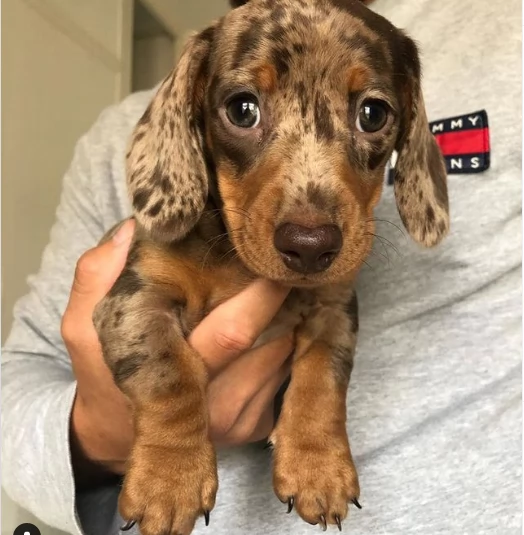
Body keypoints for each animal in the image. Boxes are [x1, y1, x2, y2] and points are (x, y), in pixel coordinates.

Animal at [92, 1, 448, 535]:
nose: (310, 246)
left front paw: (317, 465)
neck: (238, 264)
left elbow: (322, 380)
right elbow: (170, 373)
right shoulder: (135, 298)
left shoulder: (334, 310)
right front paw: (169, 479)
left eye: (373, 113)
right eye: (243, 109)